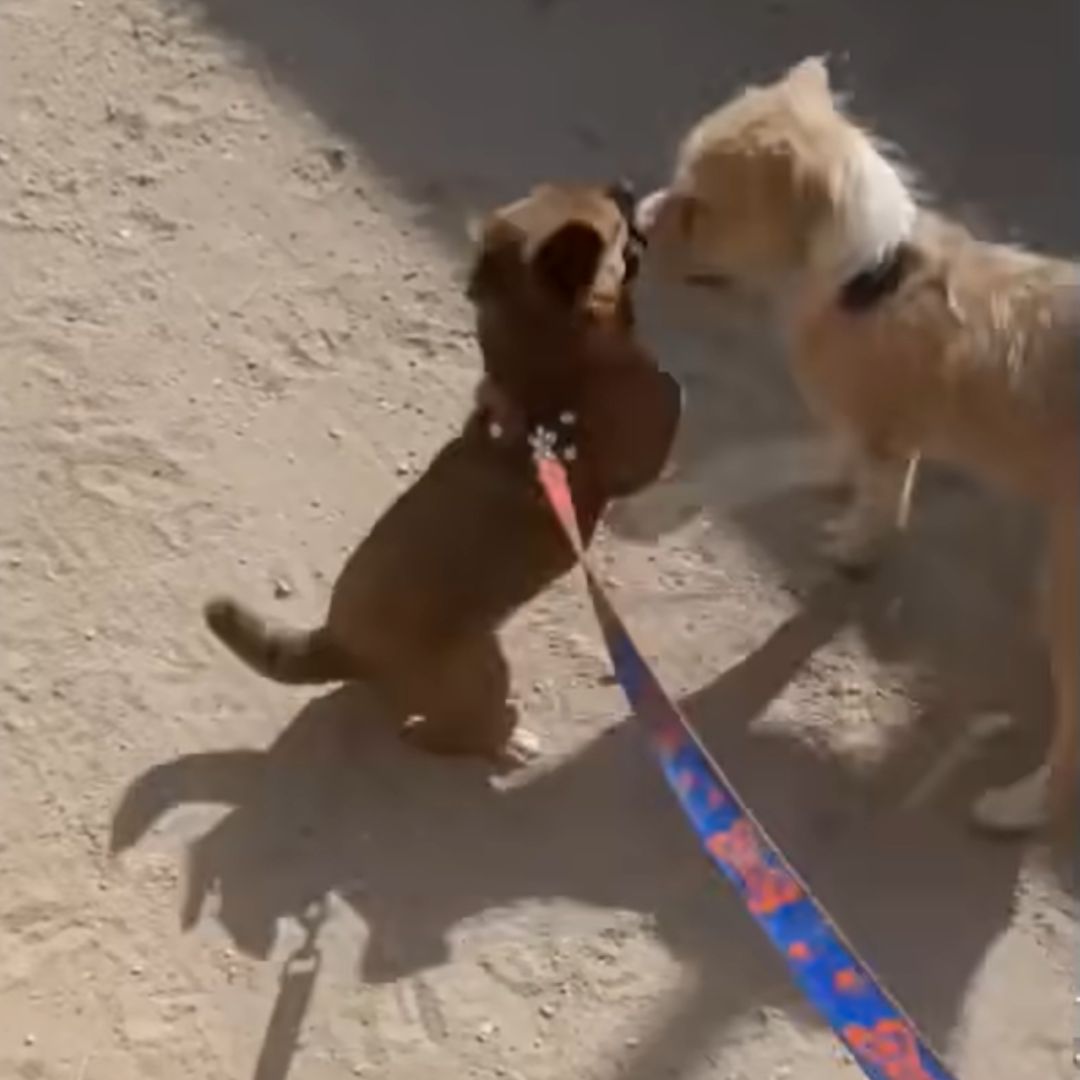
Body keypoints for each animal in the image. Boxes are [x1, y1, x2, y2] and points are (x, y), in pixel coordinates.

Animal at [200, 179, 682, 760]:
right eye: (613, 217)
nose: (626, 186)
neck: (545, 368)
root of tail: (337, 644)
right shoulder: (640, 440)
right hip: (481, 666)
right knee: (449, 732)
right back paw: (502, 738)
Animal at [639, 56, 1080, 833]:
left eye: (701, 206)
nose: (631, 221)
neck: (866, 276)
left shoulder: (859, 431)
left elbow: (747, 462)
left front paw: (653, 509)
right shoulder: (884, 442)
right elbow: (873, 502)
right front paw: (858, 543)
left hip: (1066, 586)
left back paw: (1016, 807)